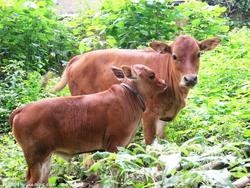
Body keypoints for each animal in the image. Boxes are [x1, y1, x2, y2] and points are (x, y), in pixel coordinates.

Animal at [9, 64, 167, 185]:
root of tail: (22, 109)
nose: (164, 82)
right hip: (35, 157)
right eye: (151, 75)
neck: (129, 98)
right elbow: (115, 172)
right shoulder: (114, 145)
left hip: (45, 157)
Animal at [53, 35, 221, 144]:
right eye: (174, 56)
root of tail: (78, 58)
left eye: (198, 54)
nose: (190, 79)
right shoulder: (149, 114)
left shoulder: (163, 117)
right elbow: (149, 143)